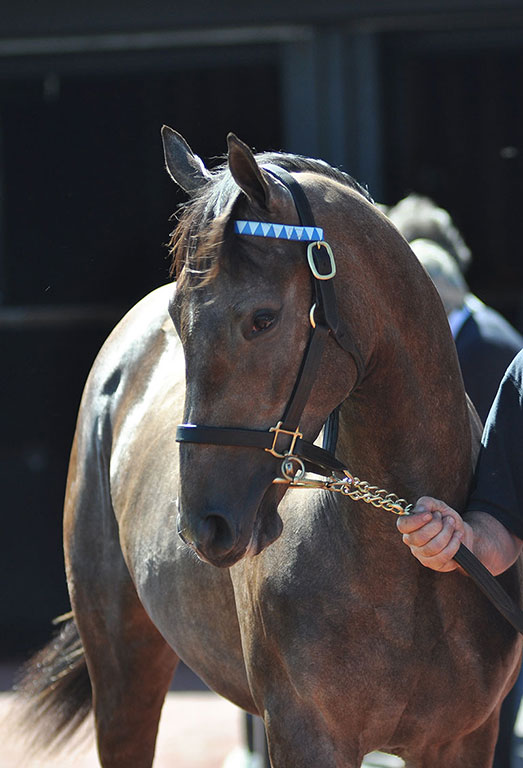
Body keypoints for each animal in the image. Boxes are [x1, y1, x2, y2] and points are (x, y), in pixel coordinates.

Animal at [16, 127, 522, 767]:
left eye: (262, 318)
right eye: (177, 317)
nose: (204, 525)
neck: (408, 574)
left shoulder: (462, 738)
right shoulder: (305, 733)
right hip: (123, 667)